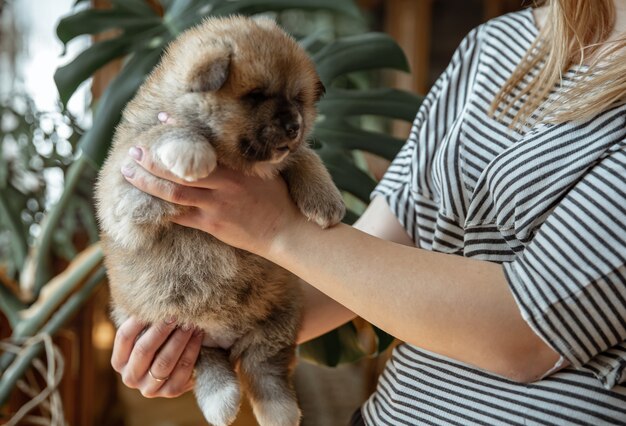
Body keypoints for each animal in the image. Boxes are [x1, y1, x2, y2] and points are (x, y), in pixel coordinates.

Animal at [95, 15, 344, 426]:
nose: (294, 125)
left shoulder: (286, 157)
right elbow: (163, 130)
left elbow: (306, 156)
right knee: (211, 366)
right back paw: (223, 400)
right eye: (256, 96)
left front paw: (327, 201)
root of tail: (228, 339)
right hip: (175, 329)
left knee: (265, 369)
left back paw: (278, 411)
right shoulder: (124, 182)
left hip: (280, 316)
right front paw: (191, 152)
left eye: (298, 100)